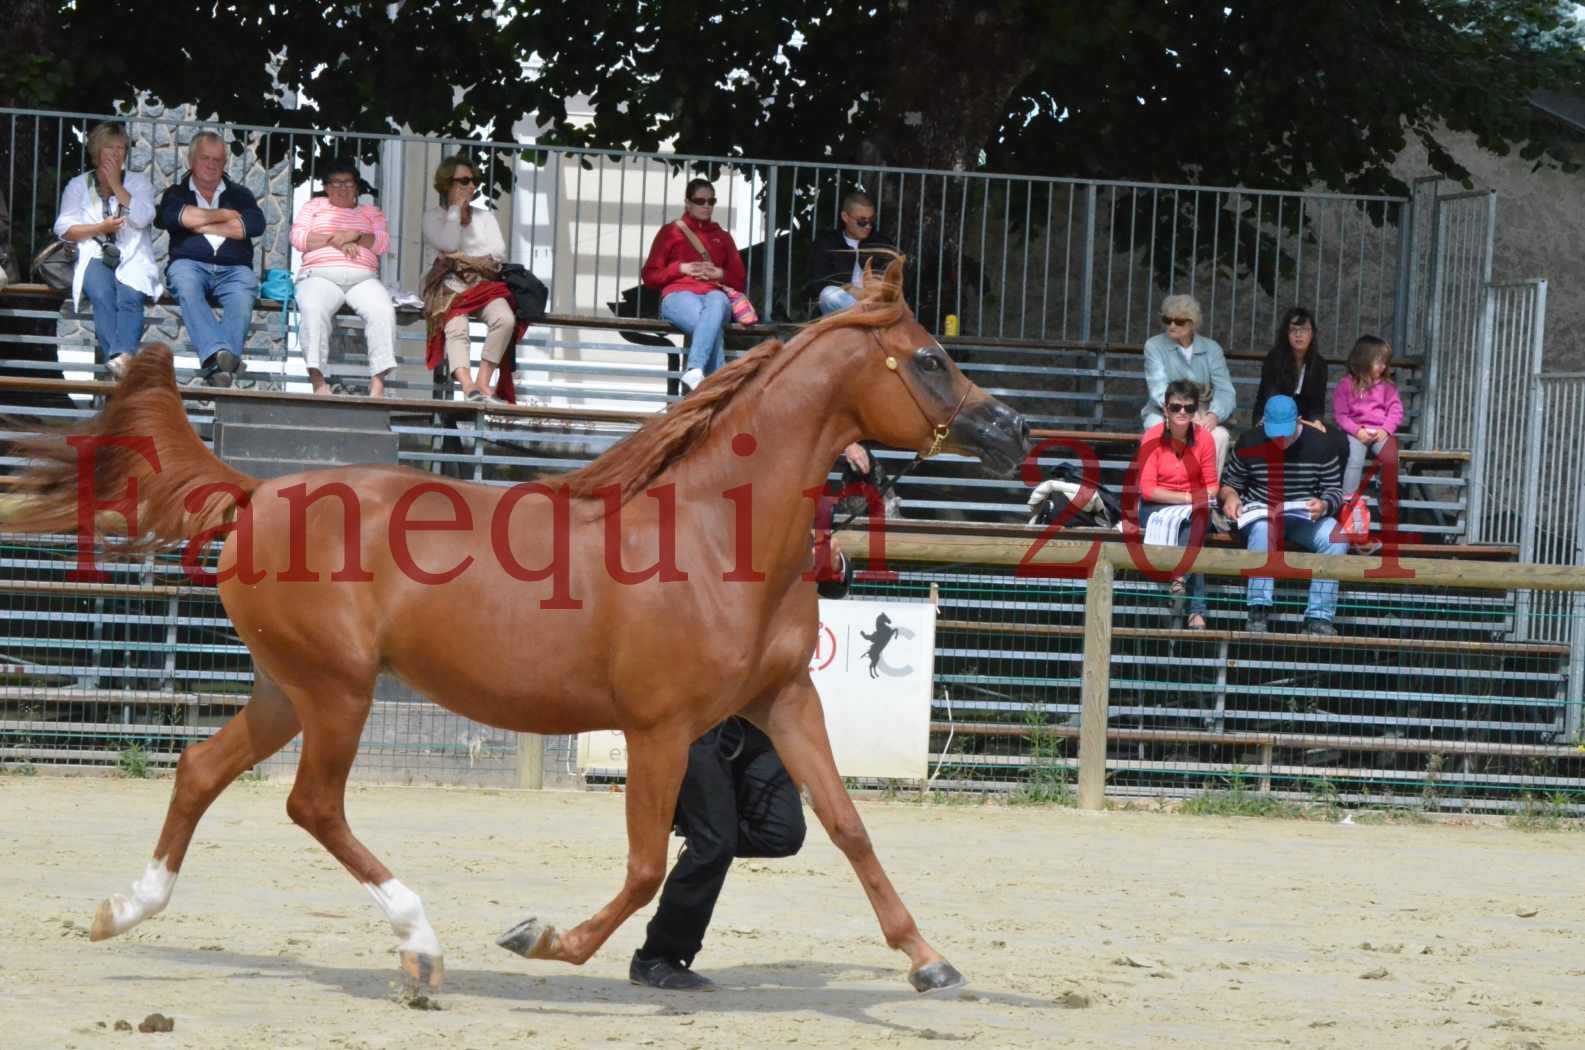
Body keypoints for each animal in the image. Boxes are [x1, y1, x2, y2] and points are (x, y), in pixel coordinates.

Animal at [6, 261, 1027, 996]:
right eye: (928, 359)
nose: (1012, 432)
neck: (714, 539)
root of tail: (256, 494)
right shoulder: (660, 729)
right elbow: (646, 866)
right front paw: (539, 938)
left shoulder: (782, 699)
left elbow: (849, 826)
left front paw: (929, 960)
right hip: (337, 690)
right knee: (313, 805)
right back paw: (421, 951)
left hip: (287, 689)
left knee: (200, 770)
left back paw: (121, 911)